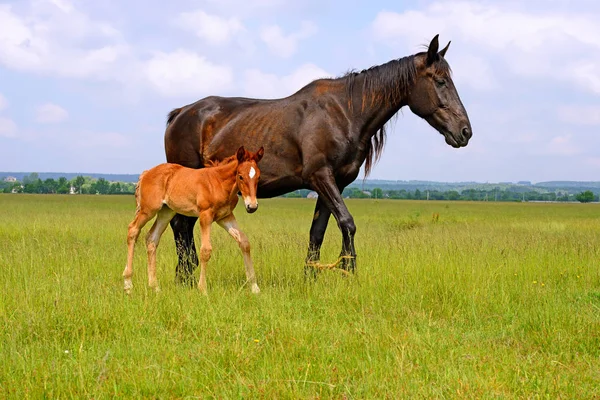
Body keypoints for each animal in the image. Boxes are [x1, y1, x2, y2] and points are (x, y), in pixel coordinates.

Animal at [123, 146, 264, 294]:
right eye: (240, 176)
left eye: (258, 177)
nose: (252, 206)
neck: (219, 183)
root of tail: (146, 173)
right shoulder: (205, 216)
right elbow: (205, 250)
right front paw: (202, 289)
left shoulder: (225, 217)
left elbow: (244, 242)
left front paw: (255, 287)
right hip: (148, 210)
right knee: (133, 230)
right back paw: (128, 285)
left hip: (166, 212)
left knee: (151, 238)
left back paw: (155, 287)